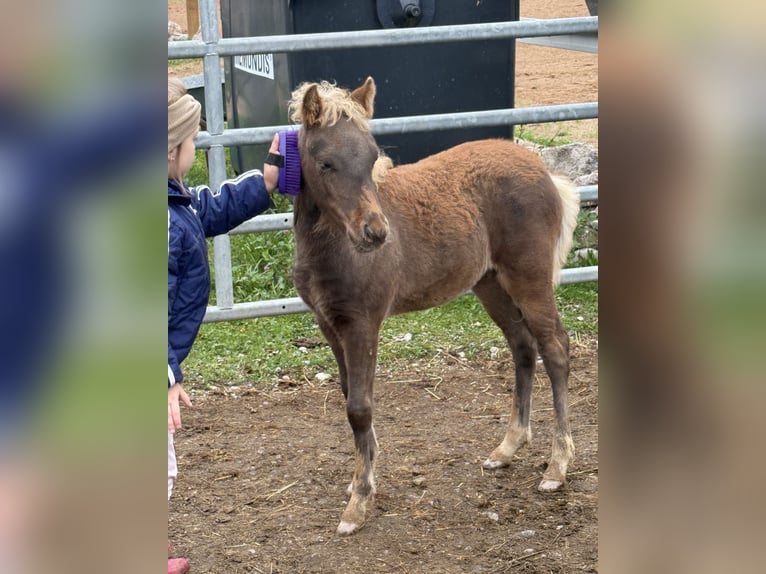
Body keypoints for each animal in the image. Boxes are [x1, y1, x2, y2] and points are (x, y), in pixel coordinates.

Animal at [287, 77, 580, 535]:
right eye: (325, 163)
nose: (376, 232)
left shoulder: (363, 323)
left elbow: (360, 408)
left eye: (371, 157)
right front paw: (362, 477)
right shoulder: (328, 325)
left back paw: (557, 466)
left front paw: (359, 502)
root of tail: (545, 172)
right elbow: (350, 395)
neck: (333, 247)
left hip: (528, 279)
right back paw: (507, 448)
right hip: (490, 284)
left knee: (555, 349)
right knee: (522, 347)